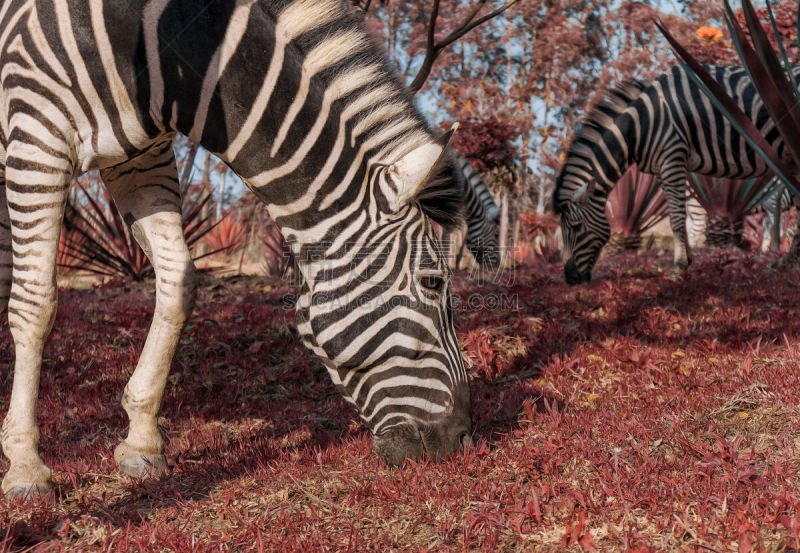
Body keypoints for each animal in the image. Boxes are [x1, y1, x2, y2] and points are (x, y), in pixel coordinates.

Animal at [0, 0, 472, 496]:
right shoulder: (37, 135)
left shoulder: (139, 157)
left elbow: (178, 282)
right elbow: (36, 303)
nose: (462, 438)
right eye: (433, 282)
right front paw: (25, 465)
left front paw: (142, 441)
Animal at [552, 64, 800, 284]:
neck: (642, 124)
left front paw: (678, 268)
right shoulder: (663, 169)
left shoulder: (672, 156)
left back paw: (787, 260)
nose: (570, 279)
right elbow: (679, 217)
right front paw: (686, 260)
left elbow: (677, 218)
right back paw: (785, 262)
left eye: (575, 227)